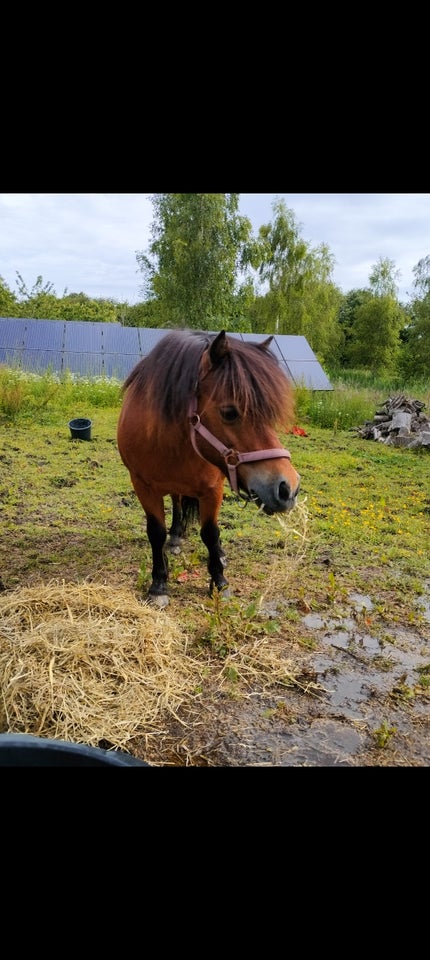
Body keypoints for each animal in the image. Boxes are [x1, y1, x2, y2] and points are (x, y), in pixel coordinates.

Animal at [116, 326, 300, 604]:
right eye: (229, 412)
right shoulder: (142, 485)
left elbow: (211, 533)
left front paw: (220, 582)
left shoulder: (212, 489)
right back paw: (176, 536)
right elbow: (156, 532)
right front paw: (159, 584)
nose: (288, 488)